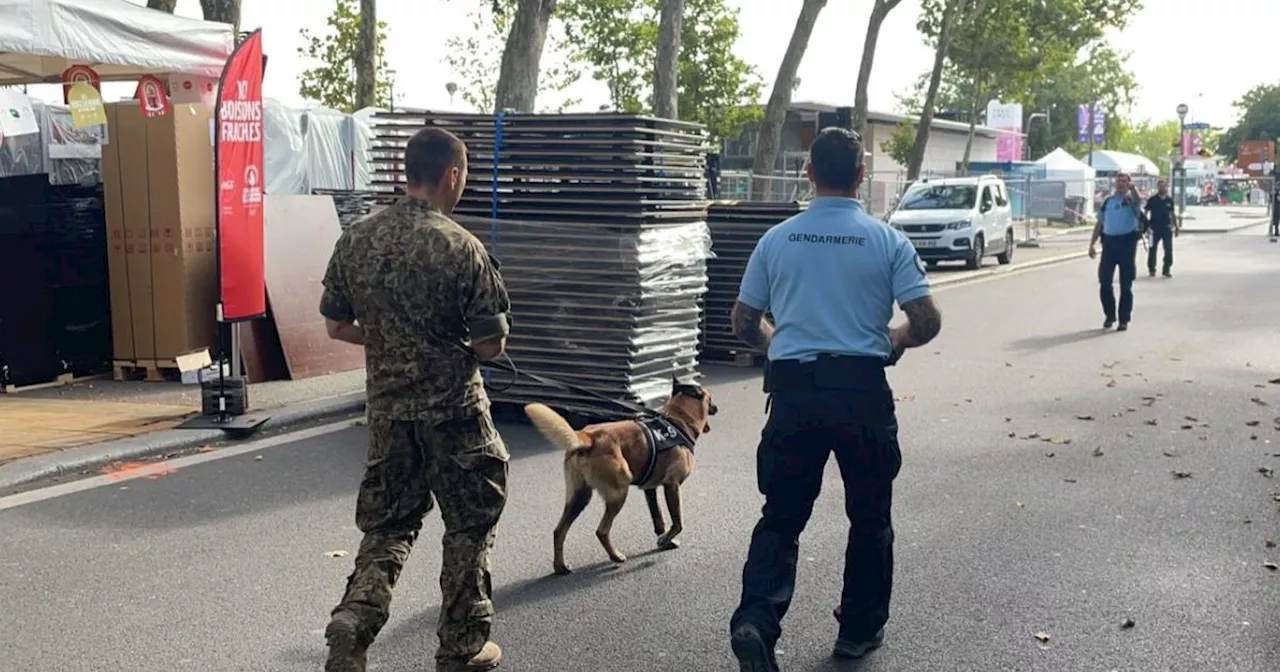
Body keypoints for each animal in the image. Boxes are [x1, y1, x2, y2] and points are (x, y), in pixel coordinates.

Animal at [522, 378, 721, 573]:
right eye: (710, 399)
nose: (716, 408)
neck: (677, 419)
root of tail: (588, 438)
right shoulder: (672, 486)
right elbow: (678, 522)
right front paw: (666, 540)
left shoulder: (650, 489)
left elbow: (659, 520)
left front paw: (665, 540)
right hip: (619, 493)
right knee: (601, 530)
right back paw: (615, 556)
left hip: (579, 497)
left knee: (559, 531)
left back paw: (560, 566)